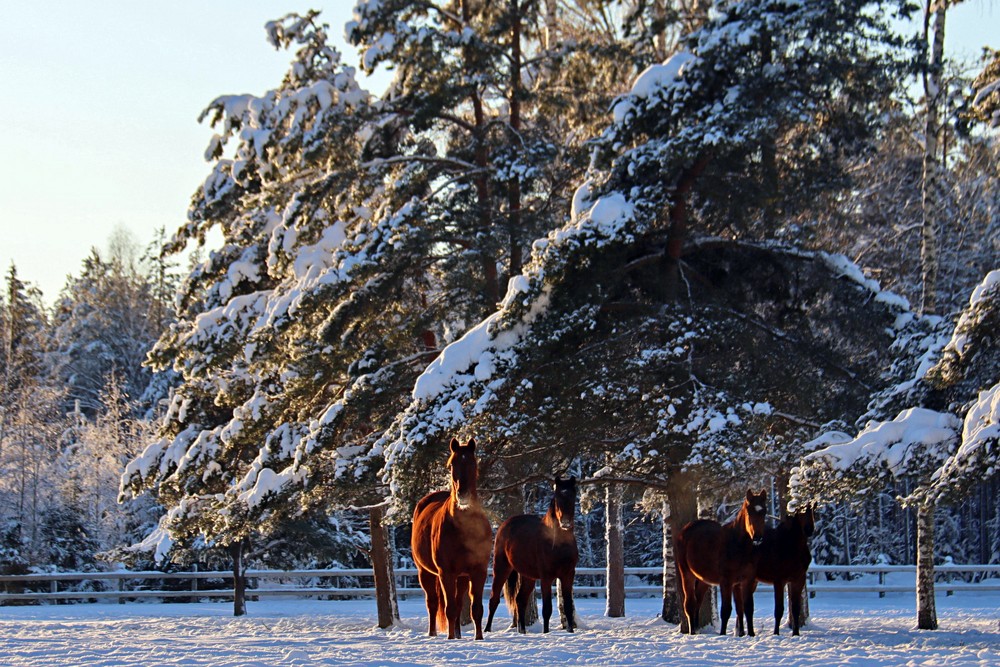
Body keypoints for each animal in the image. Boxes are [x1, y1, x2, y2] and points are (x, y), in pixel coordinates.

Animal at [410, 438, 496, 640]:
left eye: (473, 463)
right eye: (451, 465)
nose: (462, 495)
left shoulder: (478, 571)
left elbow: (476, 608)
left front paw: (478, 638)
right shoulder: (446, 573)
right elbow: (449, 608)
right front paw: (449, 639)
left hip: (462, 577)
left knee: (458, 603)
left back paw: (458, 633)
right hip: (425, 573)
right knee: (433, 603)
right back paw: (434, 633)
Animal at [484, 478, 580, 636]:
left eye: (573, 497)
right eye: (557, 498)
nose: (565, 522)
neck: (559, 544)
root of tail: (505, 524)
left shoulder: (568, 575)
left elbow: (567, 607)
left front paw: (570, 631)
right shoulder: (546, 577)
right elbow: (547, 609)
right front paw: (546, 633)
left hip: (528, 576)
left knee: (520, 600)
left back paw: (522, 631)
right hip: (501, 568)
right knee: (494, 599)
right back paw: (486, 630)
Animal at [676, 490, 768, 636]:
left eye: (764, 512)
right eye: (749, 512)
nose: (757, 538)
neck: (738, 545)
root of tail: (684, 530)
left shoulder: (746, 581)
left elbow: (747, 608)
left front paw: (751, 634)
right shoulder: (726, 581)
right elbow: (726, 610)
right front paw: (723, 634)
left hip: (703, 580)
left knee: (697, 602)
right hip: (687, 574)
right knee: (690, 604)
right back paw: (692, 632)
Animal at [748, 506, 816, 636]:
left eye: (812, 511)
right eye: (800, 511)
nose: (809, 530)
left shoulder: (798, 580)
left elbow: (795, 608)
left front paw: (796, 633)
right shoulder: (779, 581)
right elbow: (779, 610)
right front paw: (776, 633)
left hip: (753, 581)